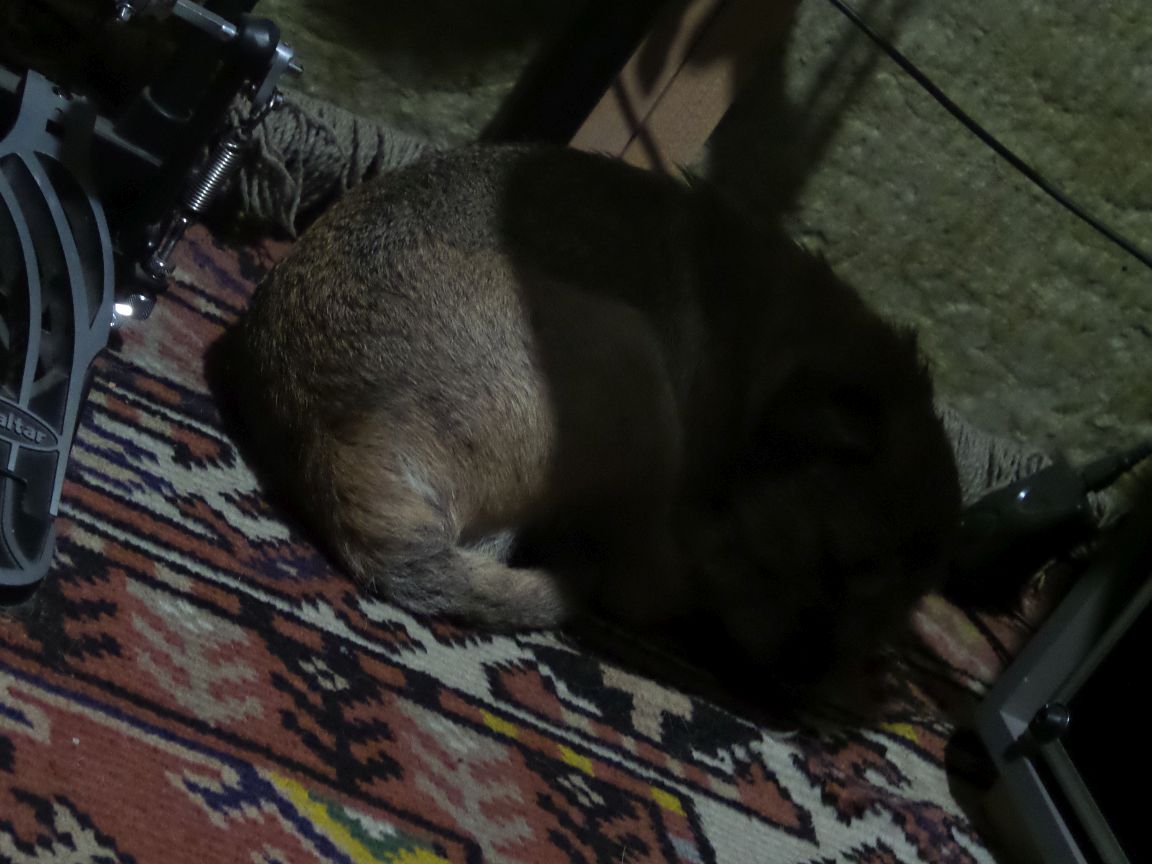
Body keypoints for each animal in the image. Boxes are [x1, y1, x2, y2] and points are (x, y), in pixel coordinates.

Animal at [215, 143, 961, 694]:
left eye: (882, 617)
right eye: (832, 560)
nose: (806, 688)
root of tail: (334, 443)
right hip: (631, 362)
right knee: (639, 585)